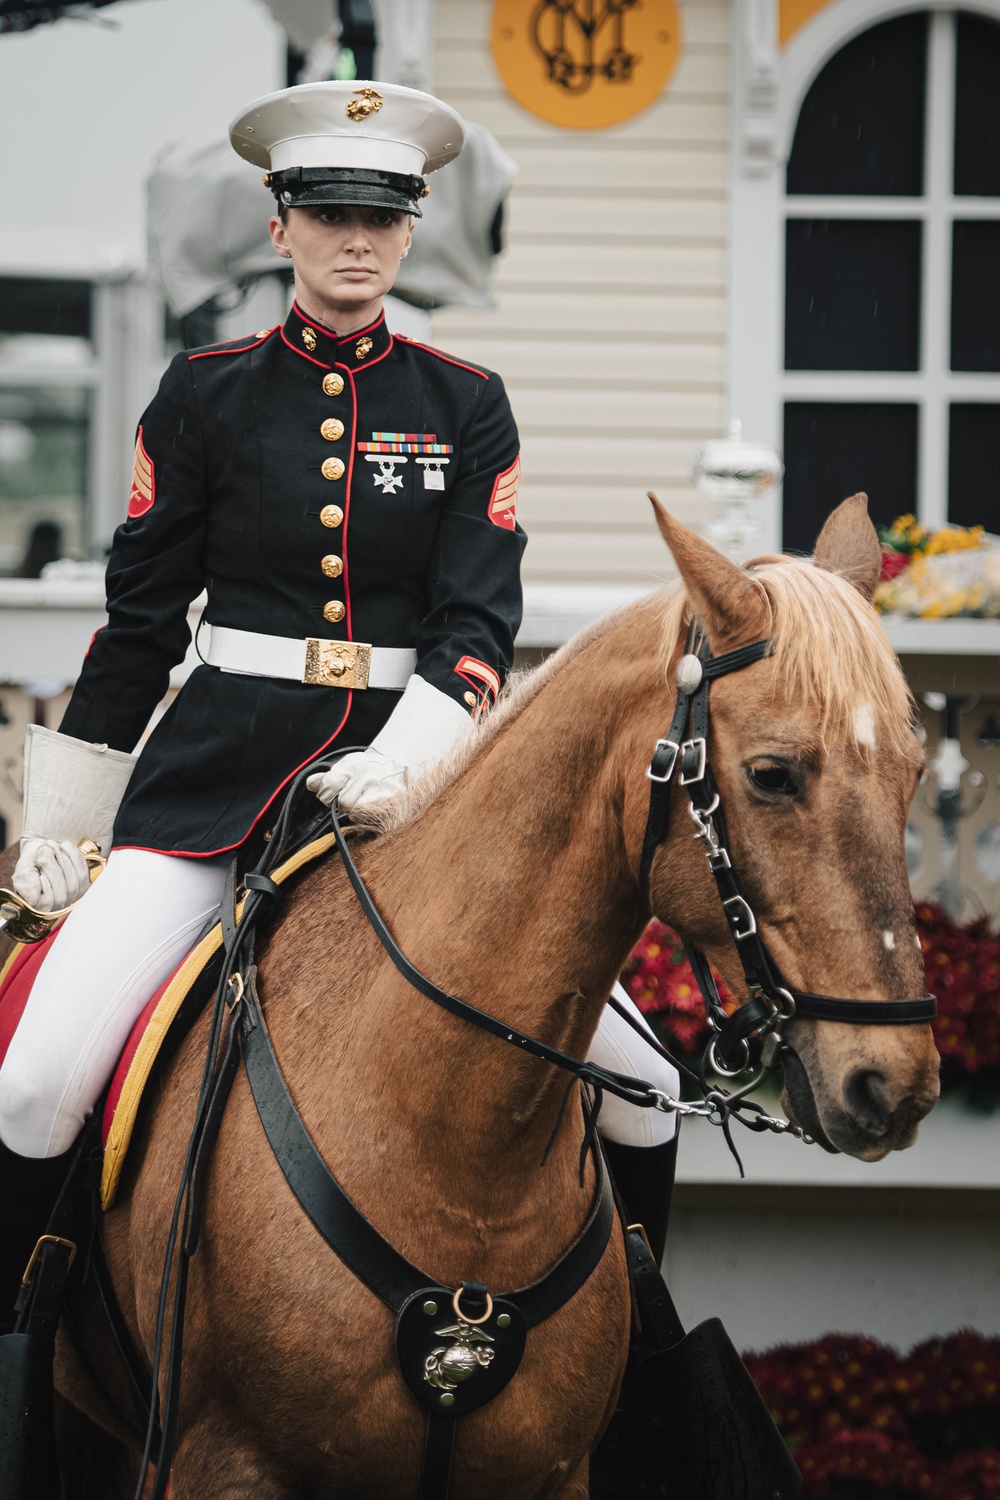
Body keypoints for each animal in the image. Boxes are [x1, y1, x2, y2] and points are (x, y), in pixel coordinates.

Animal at [13, 498, 941, 1494]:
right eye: (774, 773)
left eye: (914, 773)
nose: (894, 1081)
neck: (452, 1140)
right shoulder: (222, 1464)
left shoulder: (550, 1474)